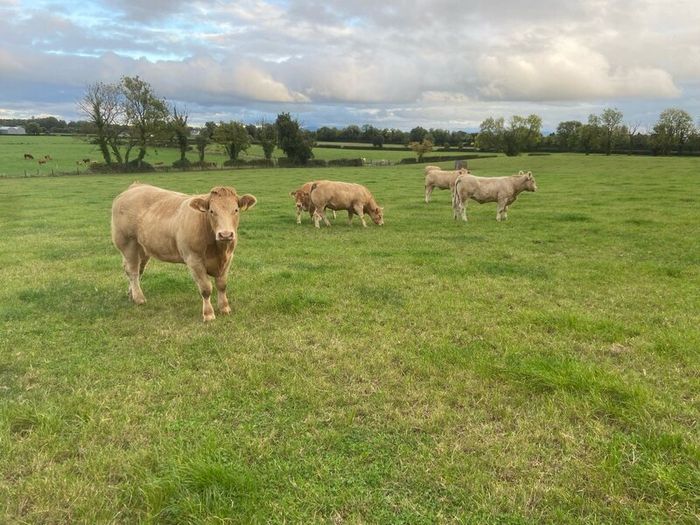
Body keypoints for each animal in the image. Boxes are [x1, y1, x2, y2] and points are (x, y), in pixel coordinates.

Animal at [111, 183, 257, 322]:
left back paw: (131, 294)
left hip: (143, 248)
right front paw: (208, 314)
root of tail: (135, 186)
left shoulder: (228, 258)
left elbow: (222, 285)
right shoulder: (194, 260)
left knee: (137, 270)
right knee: (133, 271)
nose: (225, 234)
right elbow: (206, 288)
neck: (218, 250)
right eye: (211, 211)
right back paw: (139, 298)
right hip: (128, 244)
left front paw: (225, 308)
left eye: (236, 210)